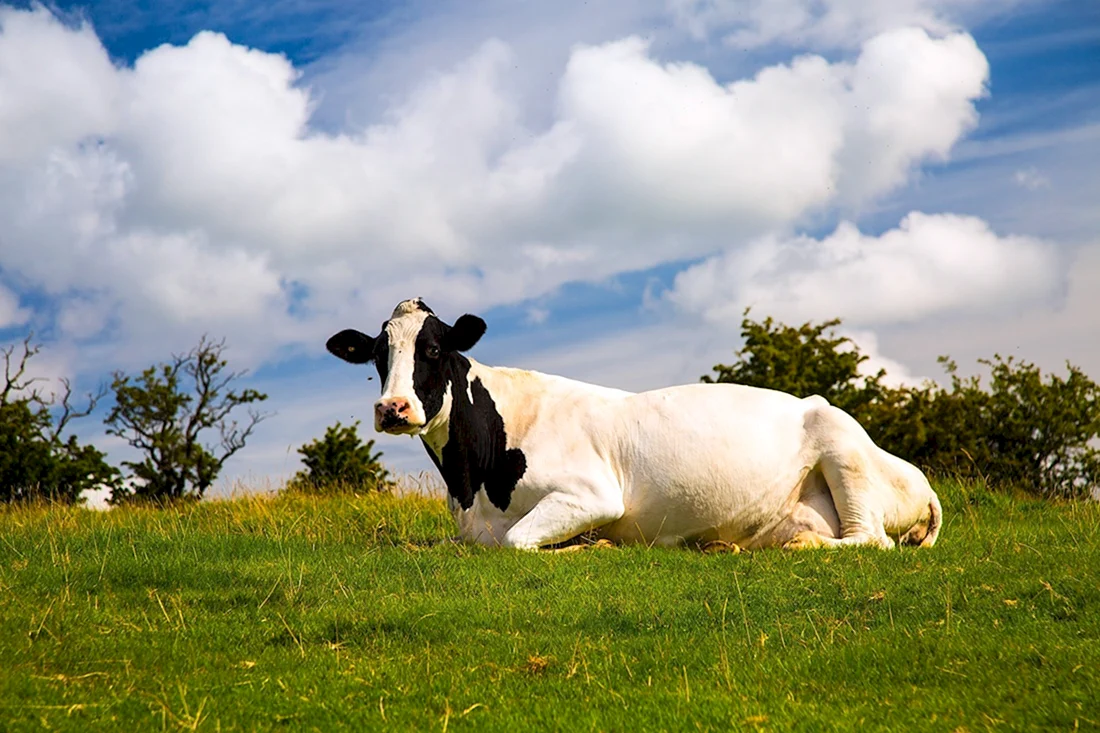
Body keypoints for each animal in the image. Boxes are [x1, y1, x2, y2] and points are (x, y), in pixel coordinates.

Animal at [326, 298, 942, 552]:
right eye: (378, 354)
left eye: (432, 349)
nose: (393, 408)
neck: (472, 484)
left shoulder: (592, 494)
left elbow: (519, 542)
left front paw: (590, 547)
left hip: (841, 445)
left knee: (870, 540)